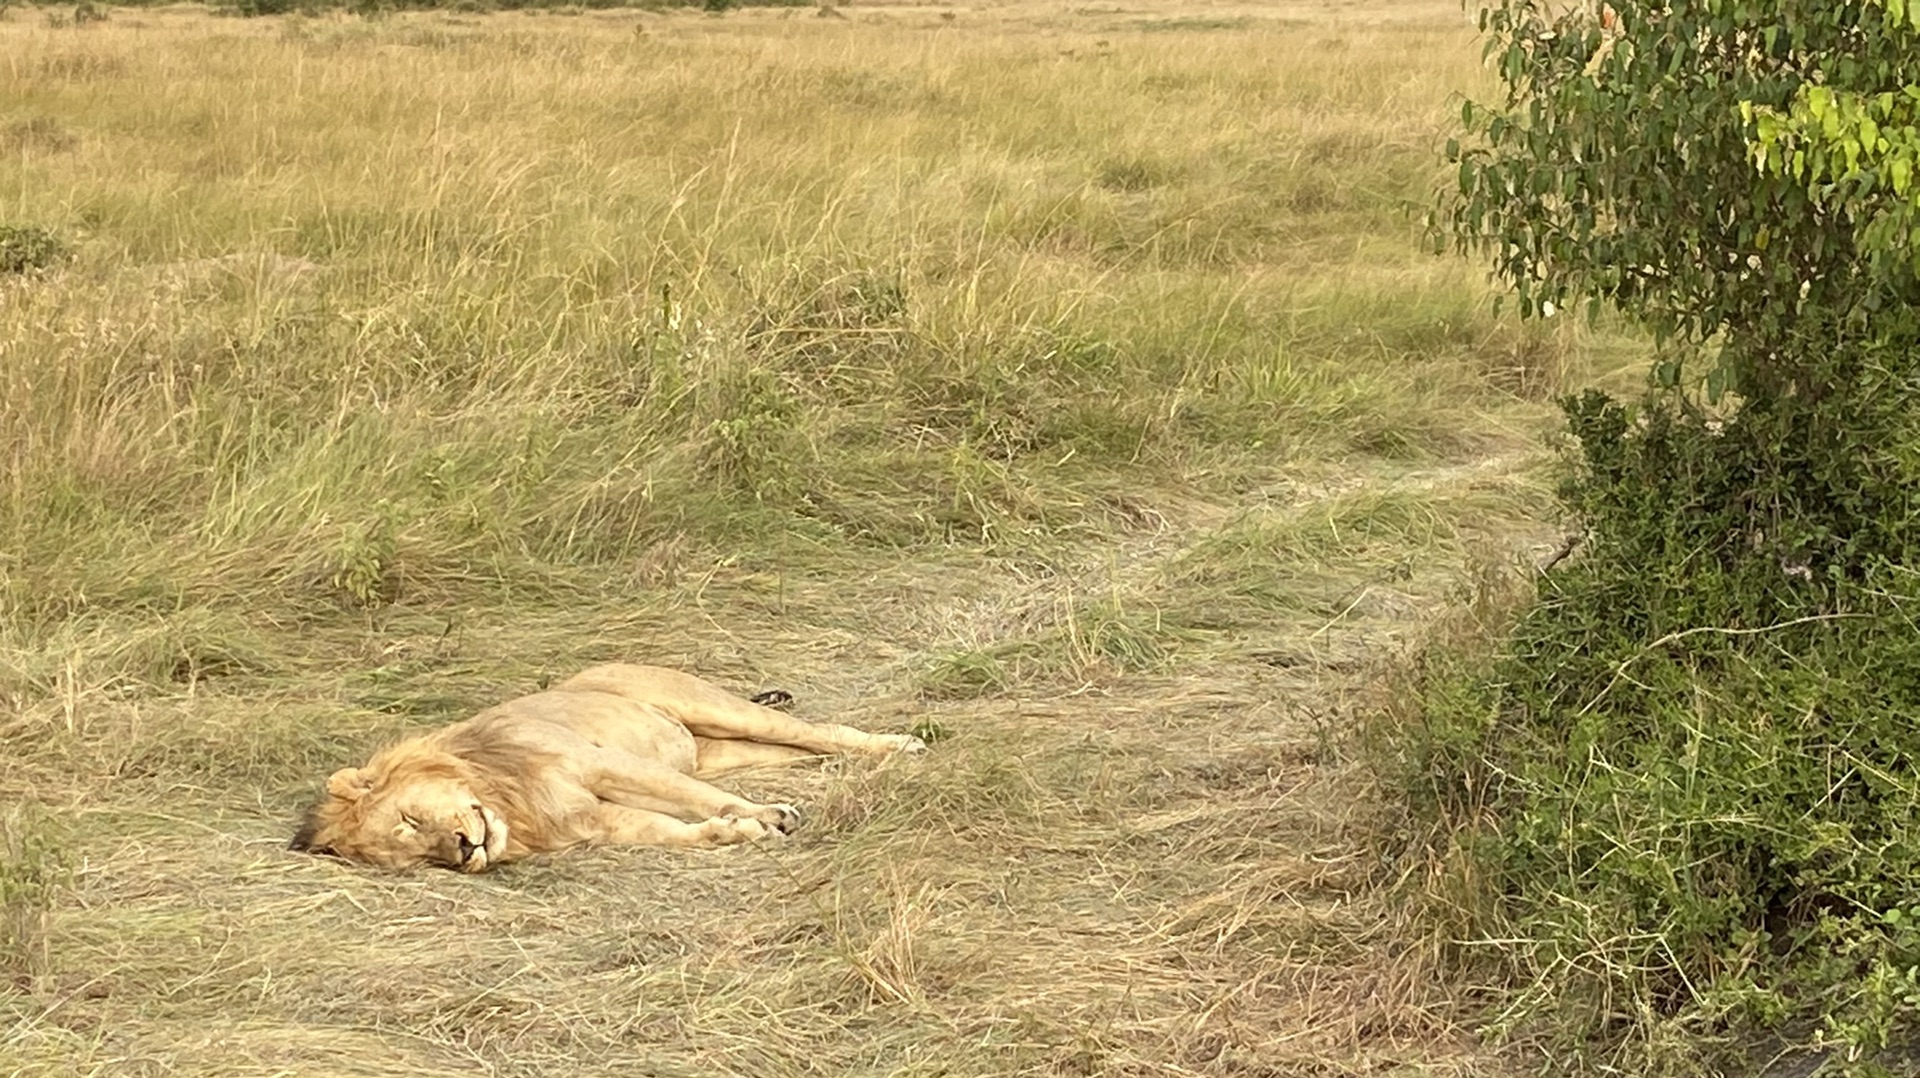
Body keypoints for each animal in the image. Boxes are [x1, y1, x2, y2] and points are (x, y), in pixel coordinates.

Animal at [291, 661, 929, 868]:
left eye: (410, 819)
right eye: (422, 858)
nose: (466, 850)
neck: (506, 800)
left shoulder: (607, 767)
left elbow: (692, 800)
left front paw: (770, 814)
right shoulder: (596, 820)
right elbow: (672, 829)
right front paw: (738, 832)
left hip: (716, 710)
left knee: (820, 732)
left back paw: (901, 747)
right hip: (722, 751)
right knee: (801, 751)